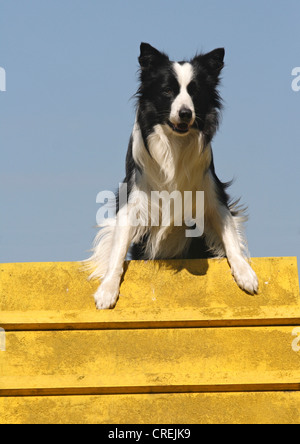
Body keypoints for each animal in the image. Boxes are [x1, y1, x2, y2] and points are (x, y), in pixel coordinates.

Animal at [86, 44, 258, 308]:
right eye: (167, 90)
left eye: (194, 92)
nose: (185, 113)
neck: (174, 144)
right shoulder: (133, 199)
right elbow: (117, 249)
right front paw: (107, 290)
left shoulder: (213, 193)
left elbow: (229, 235)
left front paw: (244, 273)